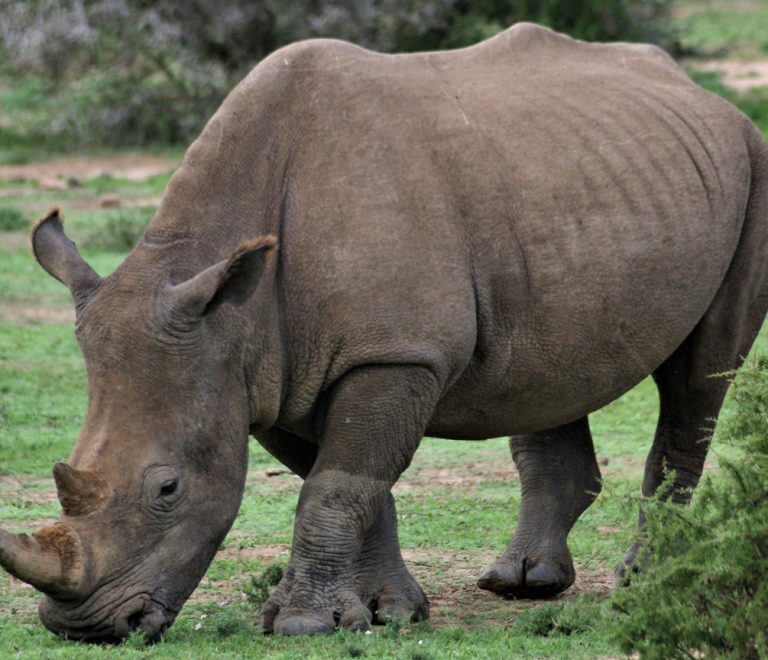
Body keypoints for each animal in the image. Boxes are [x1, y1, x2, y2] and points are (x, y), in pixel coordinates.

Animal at [2, 22, 768, 641]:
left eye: (168, 489)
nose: (85, 626)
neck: (228, 310)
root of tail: (698, 92)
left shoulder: (391, 356)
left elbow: (336, 486)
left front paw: (305, 624)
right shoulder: (270, 372)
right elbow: (352, 484)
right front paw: (391, 612)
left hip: (752, 165)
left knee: (700, 377)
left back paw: (647, 578)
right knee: (551, 372)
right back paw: (523, 583)